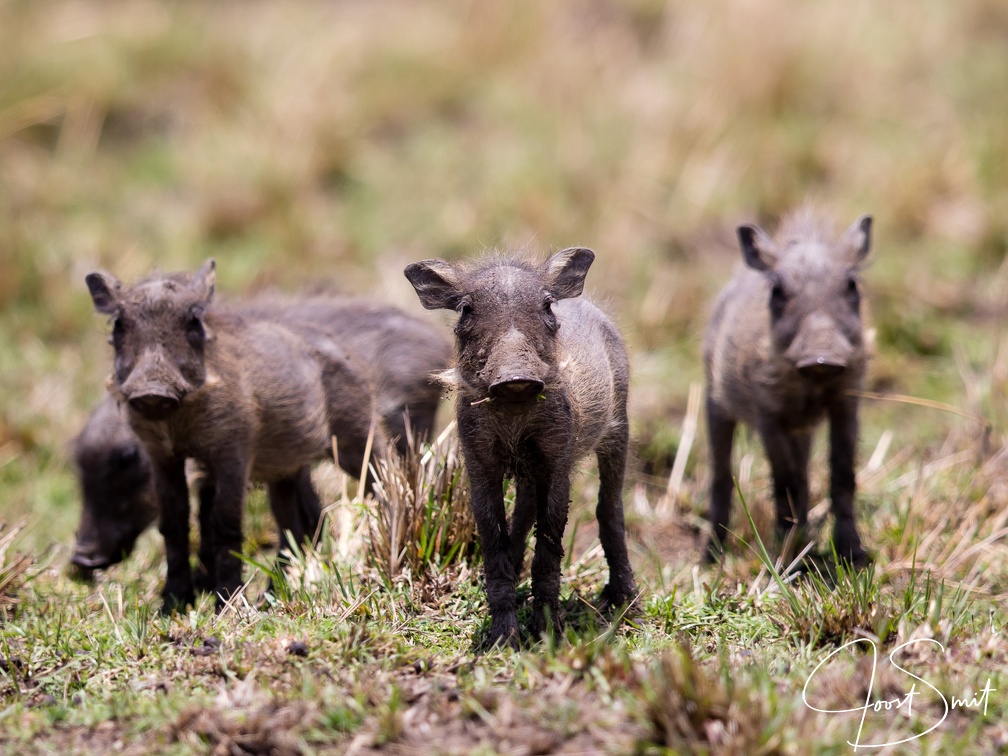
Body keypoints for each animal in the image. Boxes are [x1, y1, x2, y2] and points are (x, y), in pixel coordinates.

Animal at [85, 260, 385, 610]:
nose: (152, 392)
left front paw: (226, 604)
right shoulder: (162, 456)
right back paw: (271, 597)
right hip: (285, 469)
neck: (178, 418)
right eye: (119, 323)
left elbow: (224, 525)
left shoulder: (233, 454)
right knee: (295, 528)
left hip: (360, 441)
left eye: (193, 320)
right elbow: (173, 523)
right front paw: (173, 604)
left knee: (386, 483)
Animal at [405, 247, 637, 647]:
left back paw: (627, 600)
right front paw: (503, 636)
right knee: (524, 510)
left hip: (617, 428)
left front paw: (547, 634)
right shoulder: (480, 463)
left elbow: (548, 548)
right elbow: (494, 539)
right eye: (466, 309)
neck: (515, 412)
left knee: (610, 508)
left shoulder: (557, 463)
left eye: (547, 305)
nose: (516, 377)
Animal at [703, 207, 872, 565]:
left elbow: (842, 476)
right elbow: (784, 481)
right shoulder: (768, 415)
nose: (821, 358)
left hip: (802, 430)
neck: (811, 385)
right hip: (715, 403)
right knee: (721, 475)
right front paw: (786, 555)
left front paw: (852, 555)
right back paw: (711, 554)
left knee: (806, 476)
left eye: (851, 284)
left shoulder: (845, 404)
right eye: (777, 291)